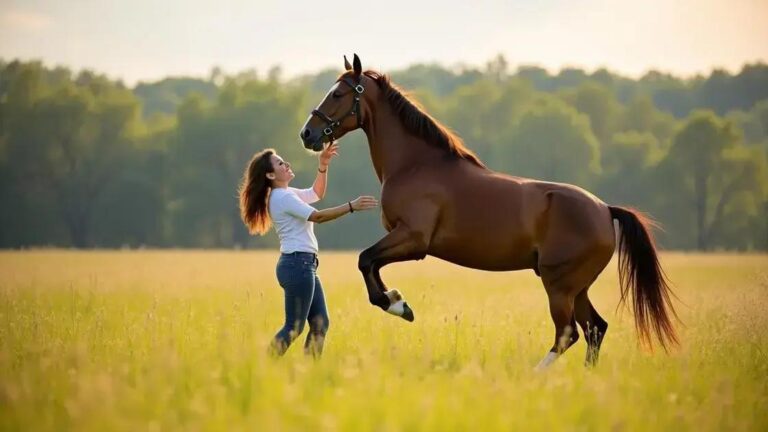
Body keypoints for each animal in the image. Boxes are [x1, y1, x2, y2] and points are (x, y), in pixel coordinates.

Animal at [298, 54, 678, 368]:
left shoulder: (413, 240)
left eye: (338, 94)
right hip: (577, 287)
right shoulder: (402, 239)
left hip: (560, 285)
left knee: (568, 333)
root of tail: (604, 209)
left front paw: (396, 304)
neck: (416, 165)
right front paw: (398, 301)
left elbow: (365, 260)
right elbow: (371, 264)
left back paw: (536, 377)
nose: (307, 134)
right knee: (595, 329)